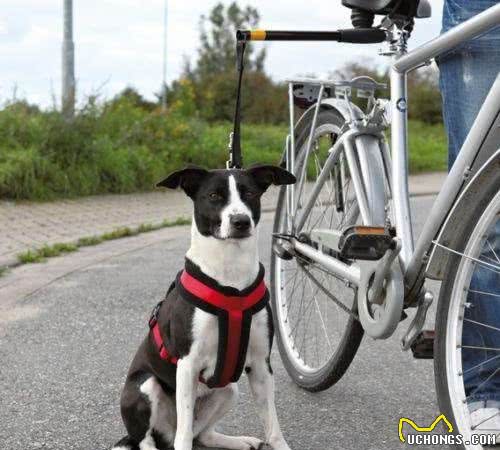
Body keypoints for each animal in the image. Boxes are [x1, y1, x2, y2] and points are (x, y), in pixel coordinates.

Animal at [111, 165, 294, 450]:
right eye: (214, 195)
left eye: (250, 193)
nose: (241, 221)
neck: (230, 275)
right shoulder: (188, 365)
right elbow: (184, 436)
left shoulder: (261, 365)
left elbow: (273, 427)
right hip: (145, 387)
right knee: (154, 440)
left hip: (228, 389)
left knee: (202, 434)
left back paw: (239, 441)